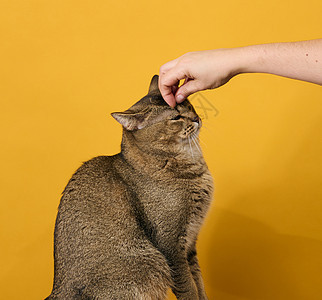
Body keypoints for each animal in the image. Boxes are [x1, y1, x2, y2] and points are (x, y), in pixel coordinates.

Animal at [46, 75, 214, 300]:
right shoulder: (171, 245)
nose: (196, 118)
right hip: (150, 262)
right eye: (176, 117)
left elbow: (198, 281)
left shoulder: (190, 243)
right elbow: (188, 287)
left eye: (188, 104)